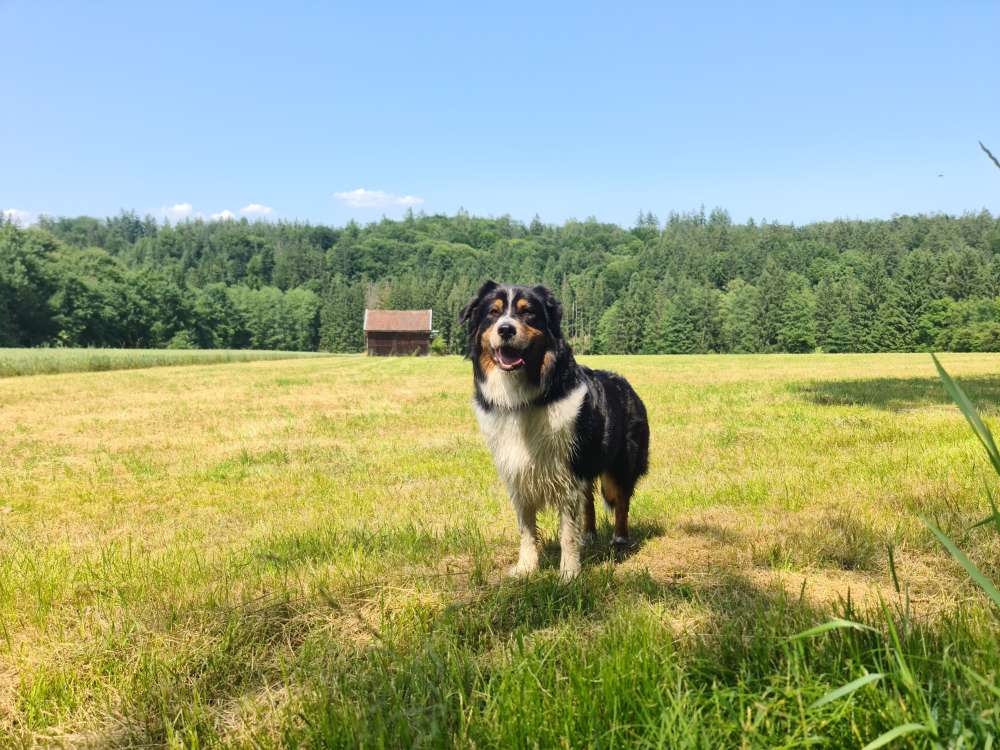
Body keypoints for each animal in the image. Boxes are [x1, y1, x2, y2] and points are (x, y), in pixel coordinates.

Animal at [458, 282, 648, 580]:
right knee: (589, 500)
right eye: (493, 313)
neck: (523, 395)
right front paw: (526, 568)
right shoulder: (519, 474)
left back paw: (619, 540)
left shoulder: (567, 473)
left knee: (621, 500)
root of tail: (627, 384)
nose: (506, 329)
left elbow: (567, 532)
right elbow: (526, 529)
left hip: (620, 462)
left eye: (528, 312)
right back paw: (589, 536)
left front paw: (569, 574)